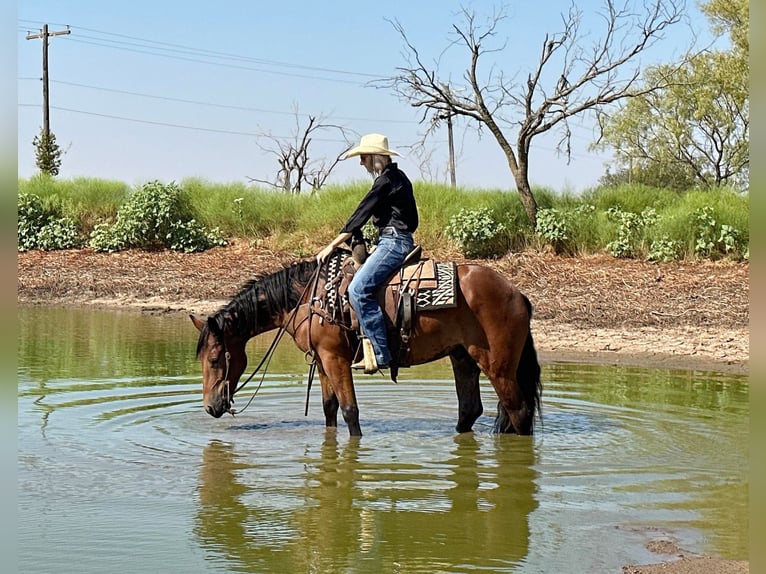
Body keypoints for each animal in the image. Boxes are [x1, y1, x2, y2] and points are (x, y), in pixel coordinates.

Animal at [190, 254, 540, 438]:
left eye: (214, 359)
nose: (210, 407)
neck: (308, 299)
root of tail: (517, 293)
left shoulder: (335, 359)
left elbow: (350, 411)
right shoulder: (322, 362)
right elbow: (330, 408)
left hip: (498, 367)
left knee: (519, 411)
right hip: (462, 358)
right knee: (470, 409)